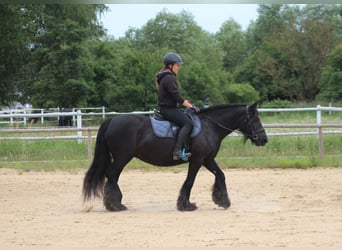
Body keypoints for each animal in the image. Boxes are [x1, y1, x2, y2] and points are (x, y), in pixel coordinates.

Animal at [83, 103, 268, 211]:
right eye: (254, 119)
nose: (264, 139)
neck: (209, 127)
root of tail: (111, 120)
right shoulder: (197, 160)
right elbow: (190, 181)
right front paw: (186, 205)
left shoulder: (208, 160)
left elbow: (221, 175)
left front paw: (222, 200)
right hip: (123, 157)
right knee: (111, 175)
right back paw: (115, 204)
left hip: (121, 158)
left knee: (112, 176)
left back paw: (113, 203)